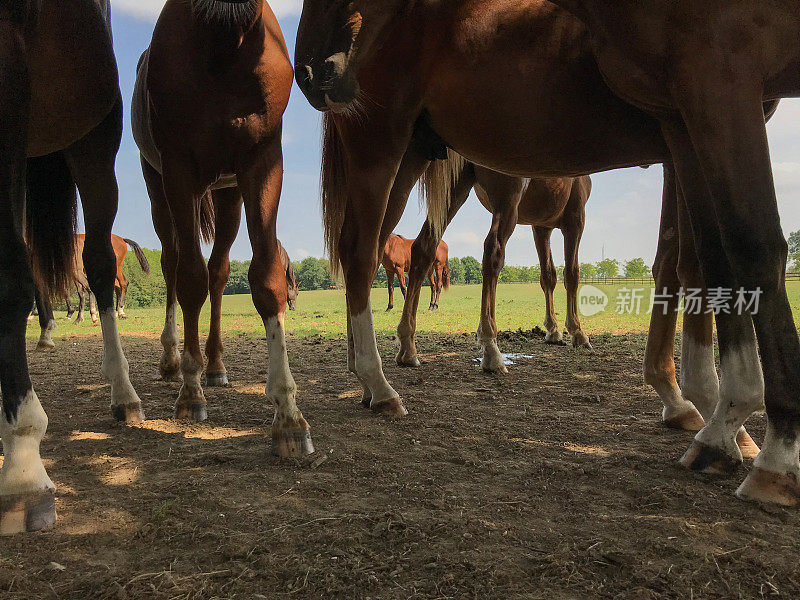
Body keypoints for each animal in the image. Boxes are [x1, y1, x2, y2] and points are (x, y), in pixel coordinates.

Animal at [133, 0, 310, 458]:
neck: (224, 42)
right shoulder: (179, 172)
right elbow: (189, 280)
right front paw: (190, 393)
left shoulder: (262, 163)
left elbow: (264, 279)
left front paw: (288, 416)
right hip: (159, 190)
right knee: (174, 265)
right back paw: (175, 361)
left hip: (228, 195)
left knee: (219, 271)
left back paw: (214, 366)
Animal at [396, 162, 592, 372]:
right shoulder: (575, 220)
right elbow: (572, 274)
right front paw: (577, 332)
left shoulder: (541, 227)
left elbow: (548, 276)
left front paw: (553, 330)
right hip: (506, 202)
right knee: (493, 251)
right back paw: (491, 348)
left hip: (454, 192)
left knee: (423, 247)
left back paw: (408, 347)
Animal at [548, 0, 800, 506]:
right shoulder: (692, 99)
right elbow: (714, 252)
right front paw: (731, 427)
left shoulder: (716, 77)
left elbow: (731, 248)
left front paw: (762, 445)